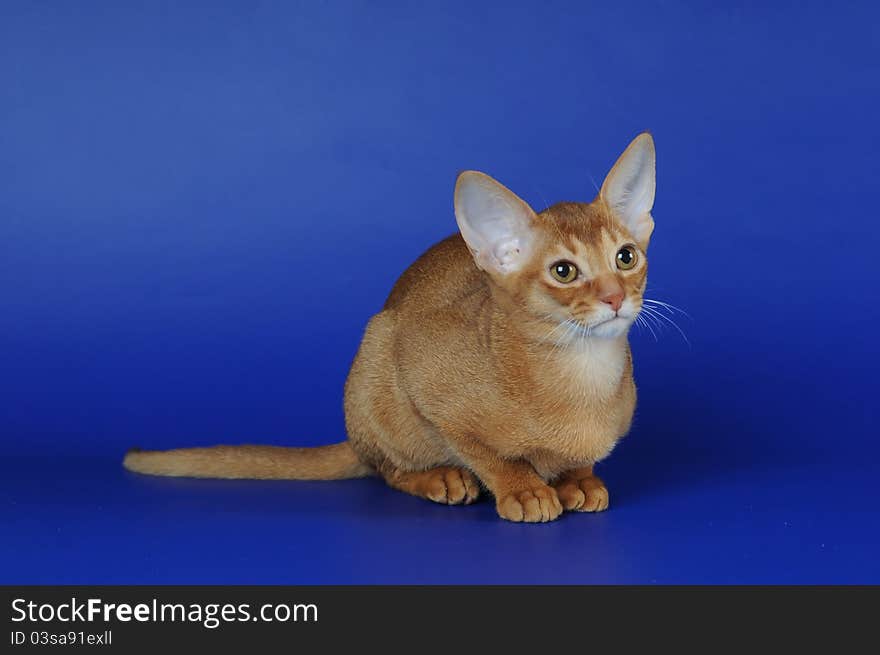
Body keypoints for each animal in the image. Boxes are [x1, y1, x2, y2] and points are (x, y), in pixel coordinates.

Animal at [125, 132, 660, 524]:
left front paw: (578, 478)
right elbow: (488, 454)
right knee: (383, 466)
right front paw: (524, 488)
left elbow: (577, 459)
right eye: (564, 271)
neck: (583, 376)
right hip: (377, 358)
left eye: (625, 257)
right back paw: (438, 479)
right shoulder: (429, 386)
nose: (615, 297)